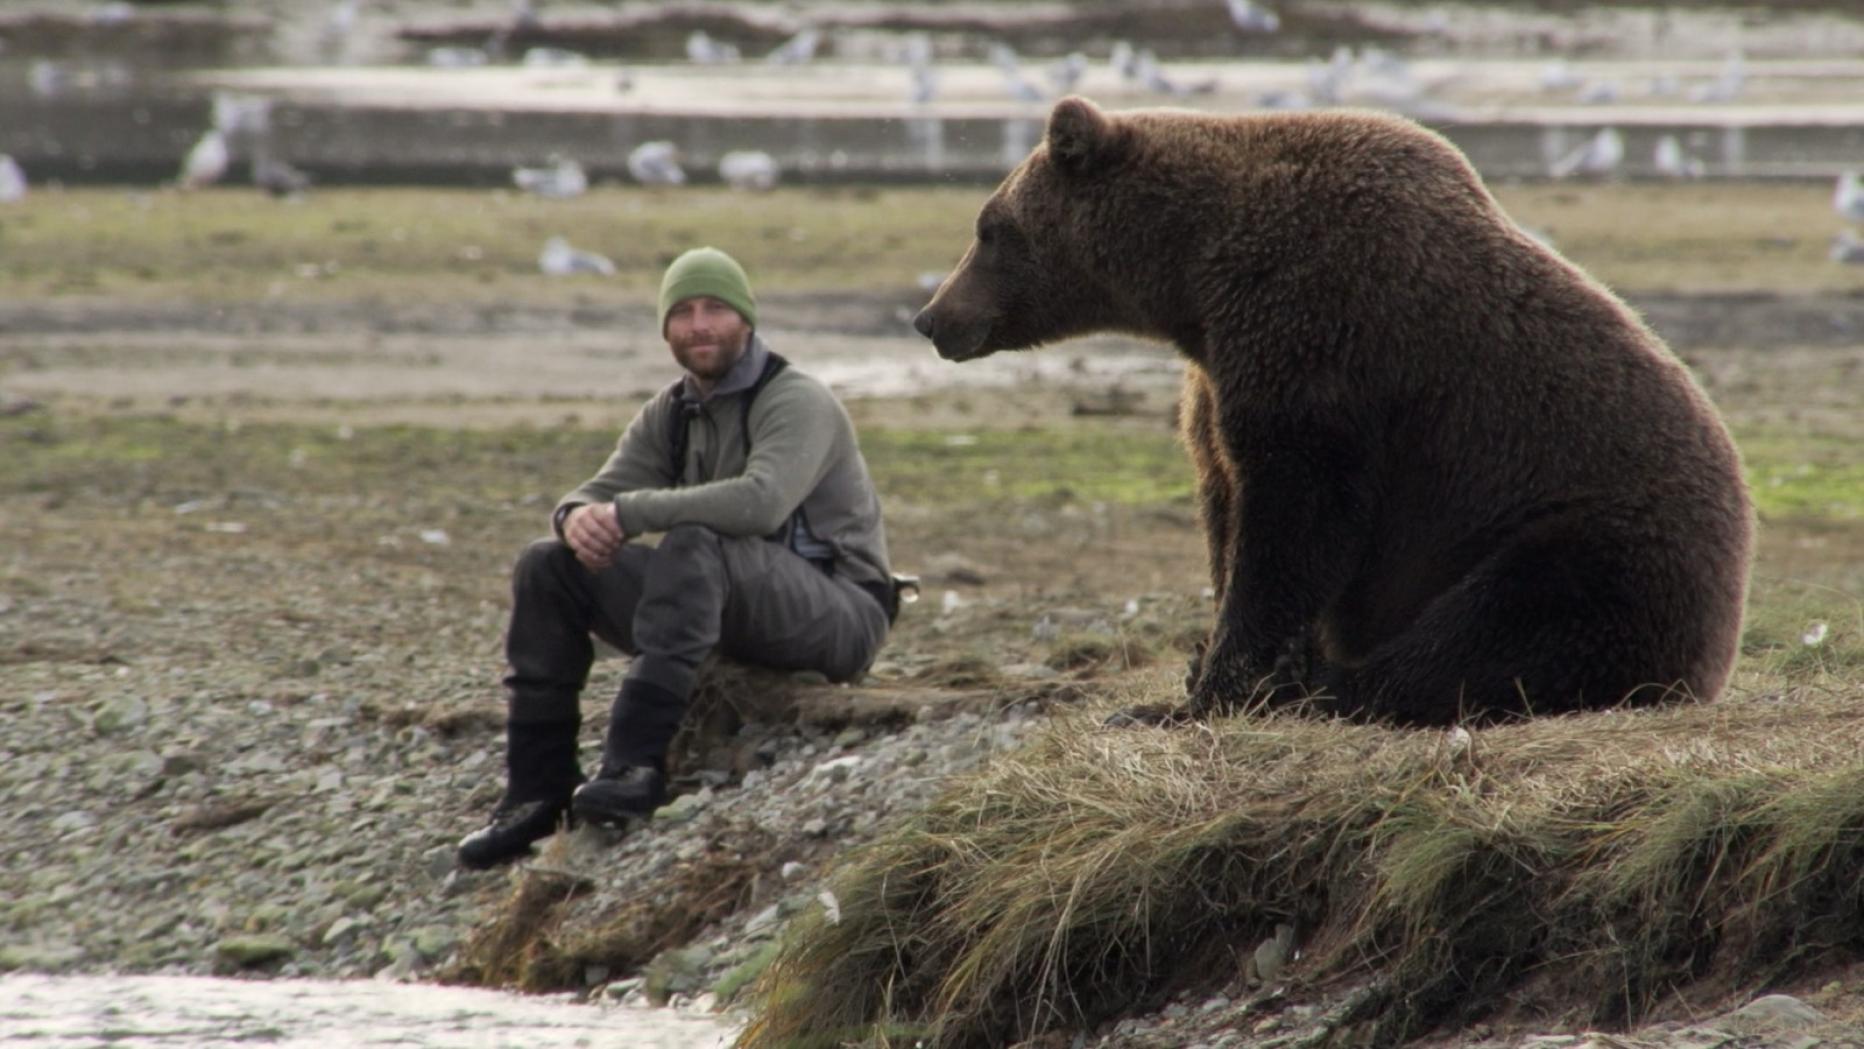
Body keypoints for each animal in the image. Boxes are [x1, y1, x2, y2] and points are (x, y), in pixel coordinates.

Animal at [912, 96, 1753, 727]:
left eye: (989, 228)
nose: (932, 316)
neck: (1192, 276)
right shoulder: (1219, 373)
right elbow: (1225, 503)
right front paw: (1214, 664)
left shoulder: (1317, 336)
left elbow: (1296, 518)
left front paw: (1212, 688)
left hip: (1586, 539)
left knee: (1494, 632)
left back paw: (1328, 688)